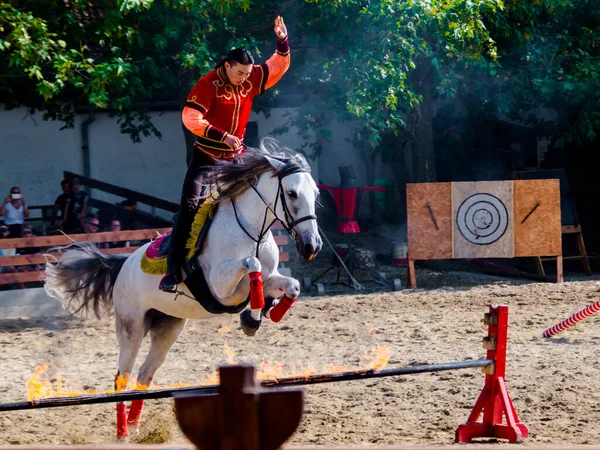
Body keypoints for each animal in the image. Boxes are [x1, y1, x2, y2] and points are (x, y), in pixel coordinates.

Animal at [44, 142, 322, 440]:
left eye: (315, 193)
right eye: (292, 193)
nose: (312, 246)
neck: (251, 231)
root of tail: (123, 264)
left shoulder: (267, 279)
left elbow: (291, 285)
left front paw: (263, 313)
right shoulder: (222, 287)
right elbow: (252, 263)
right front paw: (253, 316)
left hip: (167, 327)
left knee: (144, 375)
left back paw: (137, 428)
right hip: (131, 327)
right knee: (122, 377)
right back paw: (123, 433)